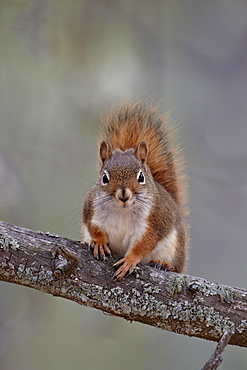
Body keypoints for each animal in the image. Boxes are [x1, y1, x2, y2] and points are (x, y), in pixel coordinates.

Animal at [81, 99, 187, 278]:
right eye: (104, 178)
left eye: (141, 177)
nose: (124, 195)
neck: (122, 211)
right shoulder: (91, 209)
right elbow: (94, 228)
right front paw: (99, 242)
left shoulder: (154, 223)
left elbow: (144, 244)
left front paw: (130, 260)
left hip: (175, 248)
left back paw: (164, 264)